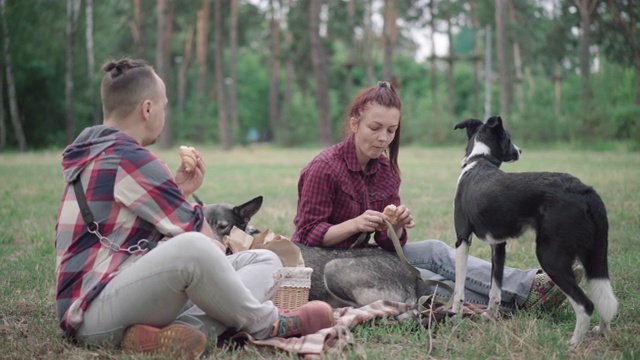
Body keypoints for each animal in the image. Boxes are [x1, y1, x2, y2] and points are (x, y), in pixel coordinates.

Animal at [452, 116, 616, 346]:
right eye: (509, 139)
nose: (520, 151)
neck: (479, 160)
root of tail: (585, 190)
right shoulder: (498, 245)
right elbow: (495, 291)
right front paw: (490, 317)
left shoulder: (462, 240)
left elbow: (459, 290)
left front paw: (453, 316)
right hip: (594, 255)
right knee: (603, 299)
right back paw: (602, 330)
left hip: (550, 256)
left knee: (586, 305)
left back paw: (573, 343)